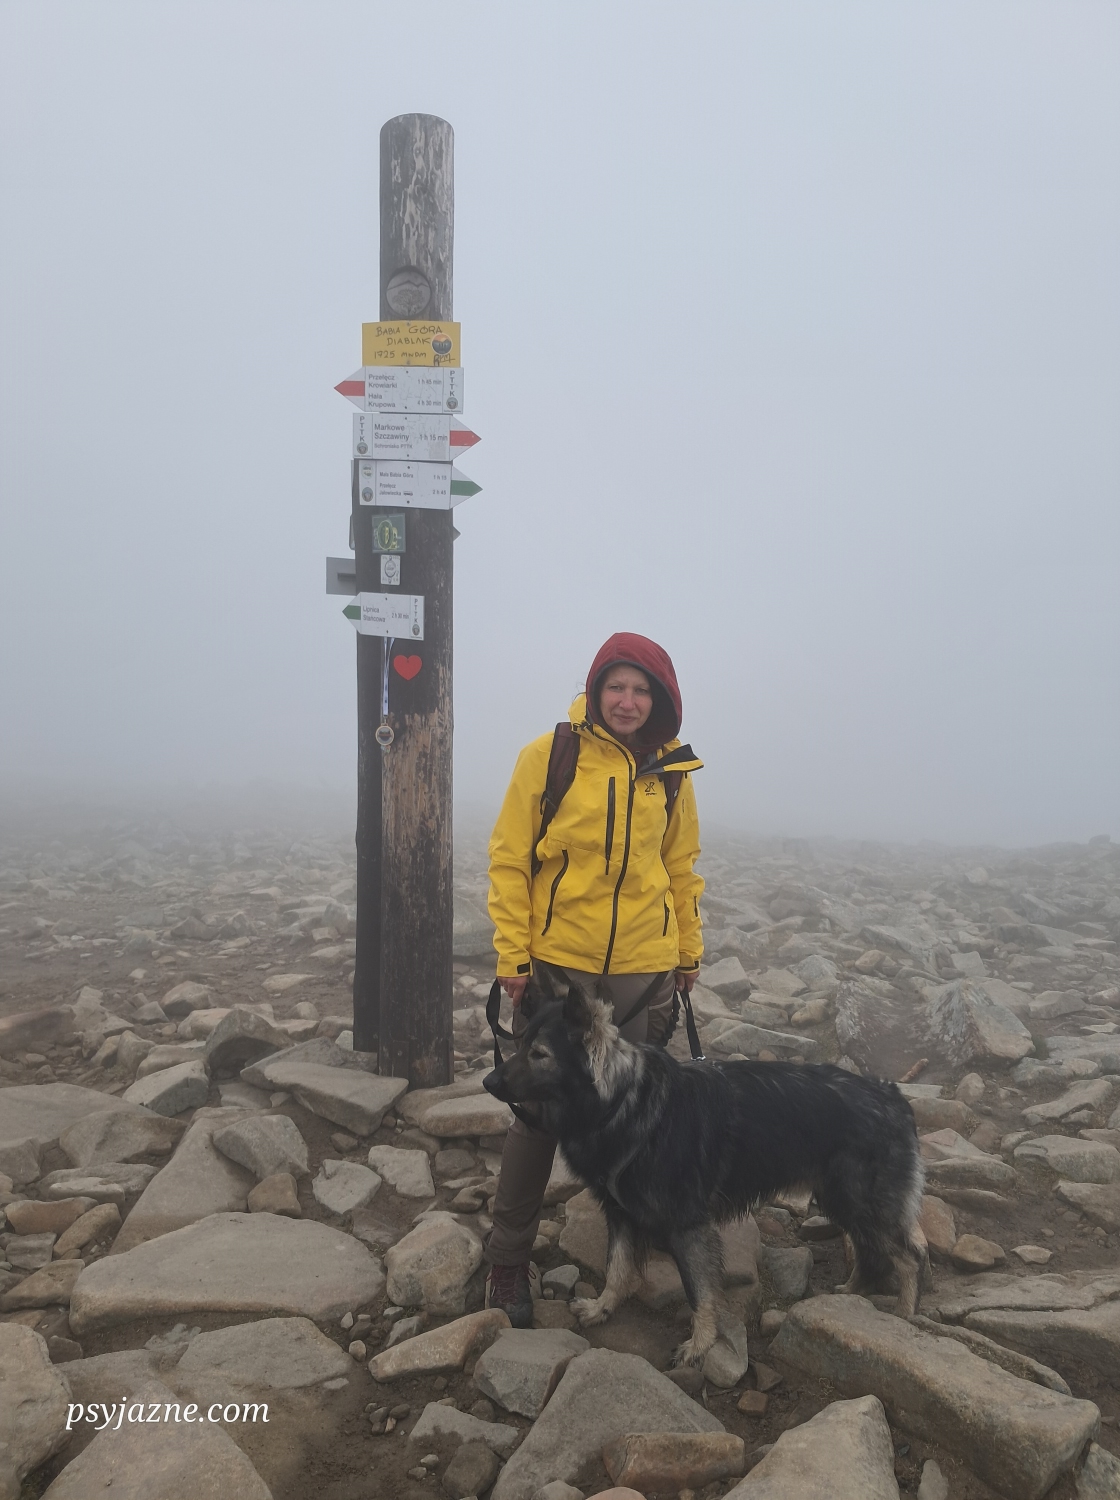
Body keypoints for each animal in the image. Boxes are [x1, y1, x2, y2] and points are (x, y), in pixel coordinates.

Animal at [484, 985, 926, 1366]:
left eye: (539, 1053)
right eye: (519, 1045)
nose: (488, 1081)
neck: (622, 1103)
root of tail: (893, 1096)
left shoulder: (688, 1227)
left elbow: (699, 1292)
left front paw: (700, 1345)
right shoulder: (621, 1214)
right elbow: (618, 1268)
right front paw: (602, 1308)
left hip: (857, 1201)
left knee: (907, 1258)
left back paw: (903, 1314)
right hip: (843, 1201)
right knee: (872, 1251)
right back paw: (851, 1296)